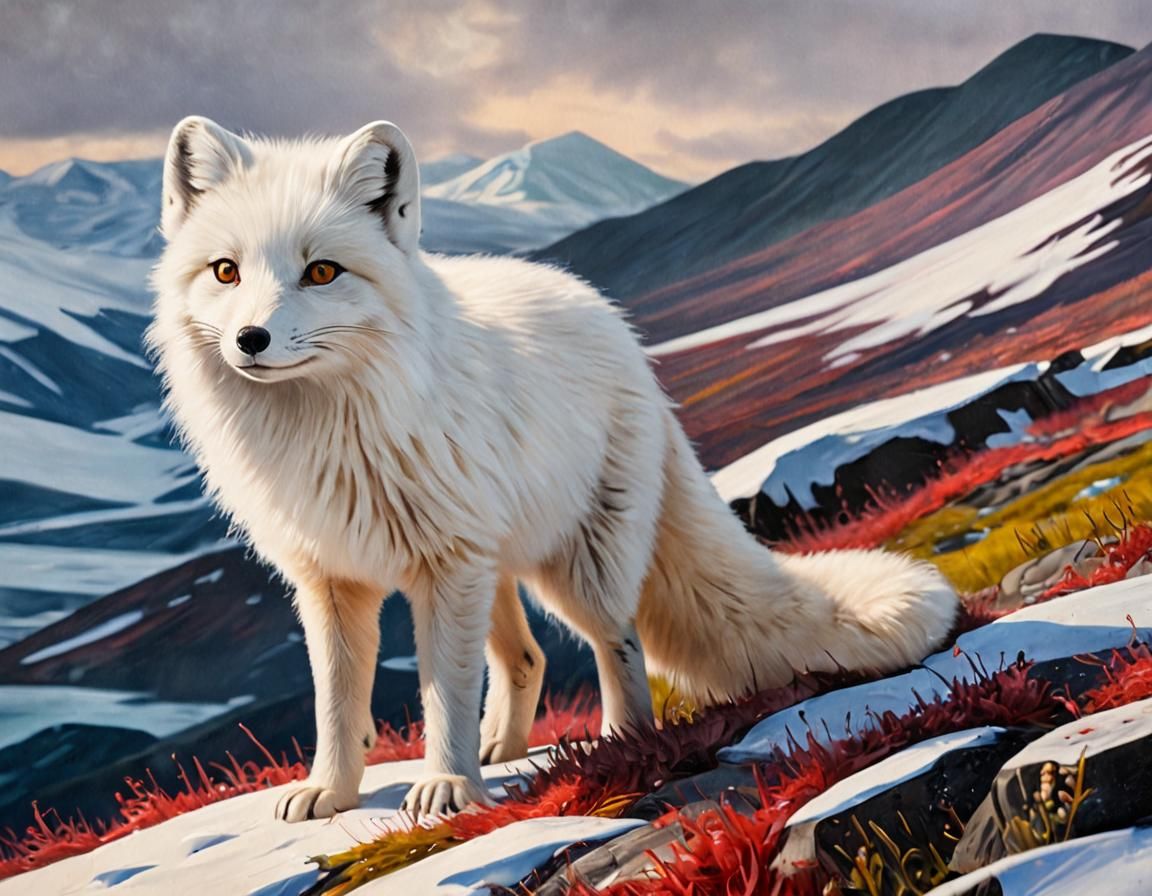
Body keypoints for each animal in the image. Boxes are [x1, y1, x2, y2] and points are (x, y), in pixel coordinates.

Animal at [148, 116, 958, 822]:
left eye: (321, 272)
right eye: (226, 272)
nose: (251, 339)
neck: (325, 433)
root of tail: (619, 328)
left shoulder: (444, 567)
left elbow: (445, 692)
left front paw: (446, 786)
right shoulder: (331, 579)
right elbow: (338, 702)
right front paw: (332, 792)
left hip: (572, 569)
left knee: (617, 643)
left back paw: (620, 743)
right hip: (495, 568)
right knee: (528, 657)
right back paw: (503, 750)